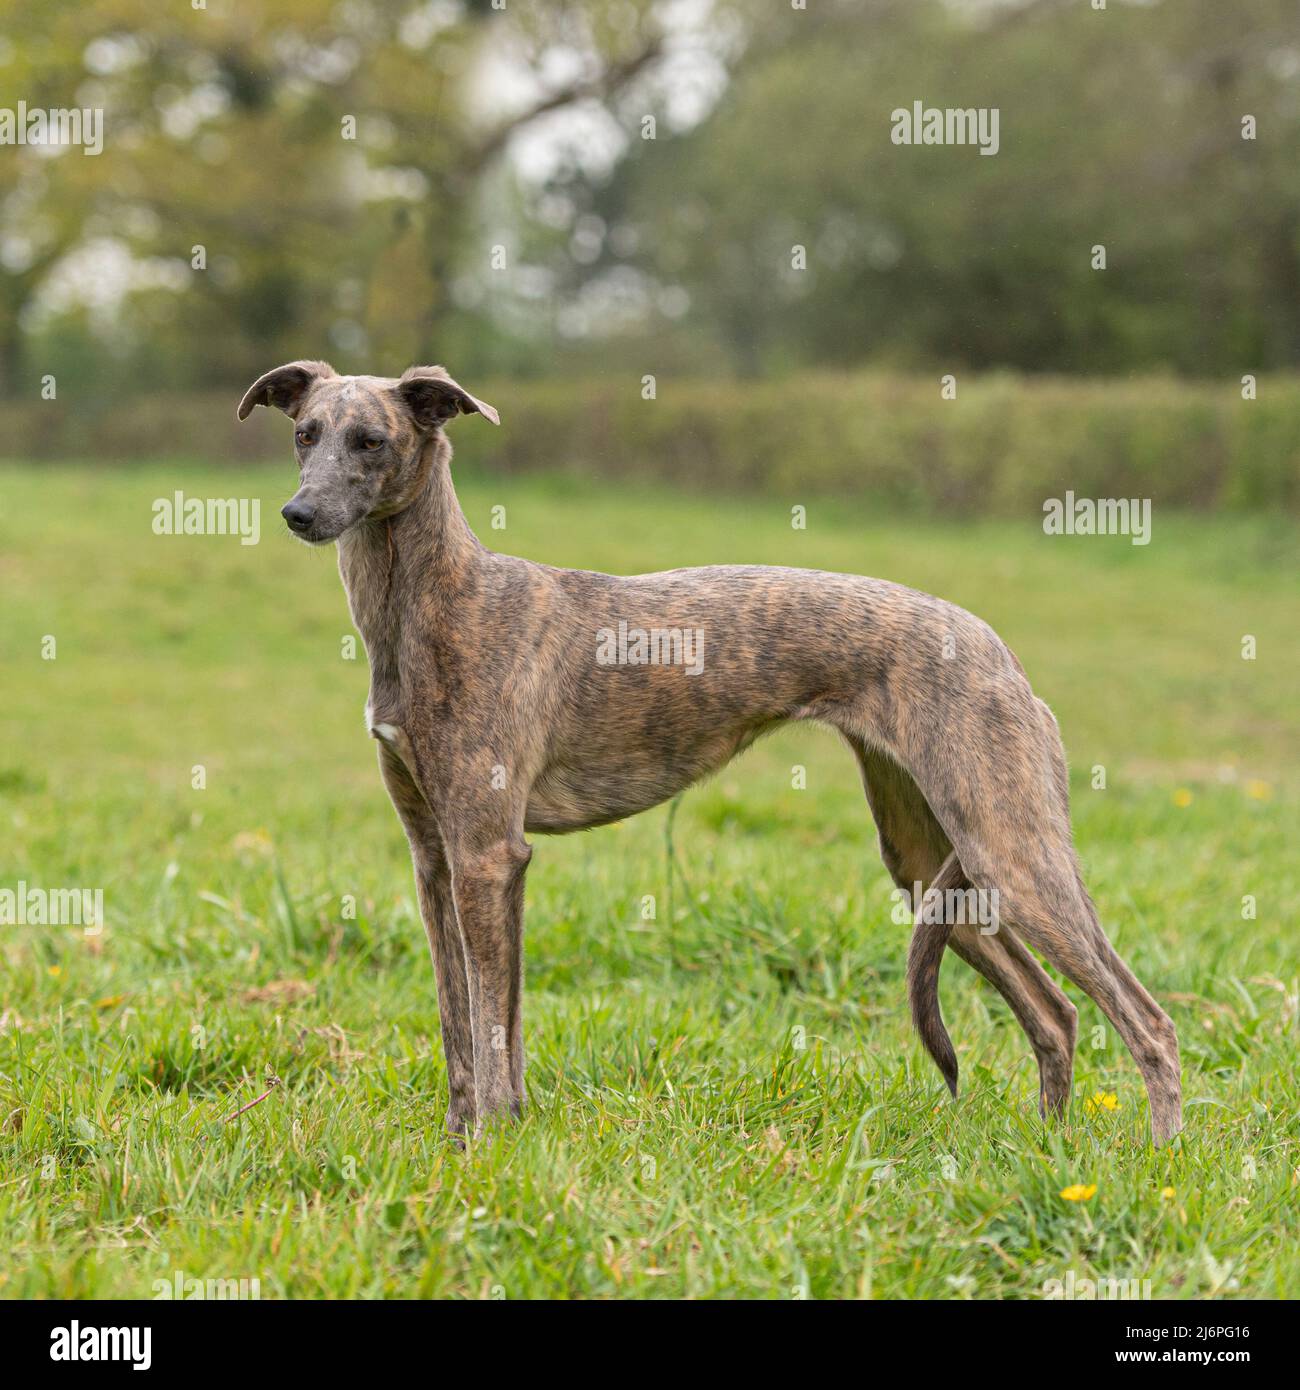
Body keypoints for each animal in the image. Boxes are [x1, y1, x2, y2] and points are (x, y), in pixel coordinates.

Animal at [239, 364, 1184, 1145]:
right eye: (305, 433)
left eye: (373, 440)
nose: (298, 515)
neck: (439, 603)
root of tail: (1000, 652)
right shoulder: (434, 859)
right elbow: (458, 1031)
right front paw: (459, 1146)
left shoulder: (488, 855)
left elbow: (495, 1029)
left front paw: (498, 1151)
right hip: (933, 865)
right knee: (1057, 1015)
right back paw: (1047, 1150)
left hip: (1013, 853)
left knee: (1149, 1021)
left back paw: (1159, 1158)